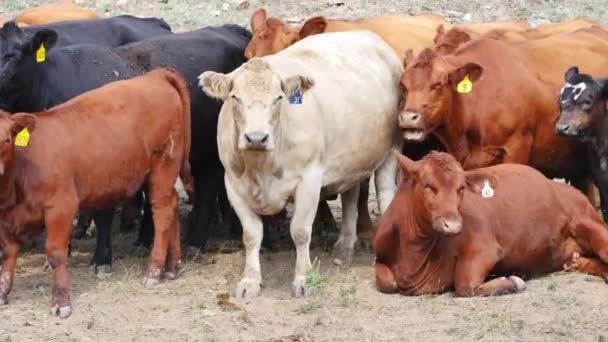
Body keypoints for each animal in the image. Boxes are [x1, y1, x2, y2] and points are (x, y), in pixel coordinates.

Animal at [0, 22, 252, 272]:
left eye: (11, 56)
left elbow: (102, 213)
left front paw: (101, 259)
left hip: (209, 151)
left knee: (207, 189)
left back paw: (195, 242)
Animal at [0, 67, 192, 318]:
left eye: (6, 139)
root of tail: (156, 75)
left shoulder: (61, 207)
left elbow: (56, 253)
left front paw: (60, 301)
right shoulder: (6, 217)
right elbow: (8, 252)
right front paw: (3, 293)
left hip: (163, 166)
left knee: (162, 213)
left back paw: (154, 271)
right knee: (173, 206)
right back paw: (171, 266)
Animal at [200, 30, 406, 300]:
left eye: (278, 99)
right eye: (235, 98)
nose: (256, 137)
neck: (261, 167)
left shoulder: (309, 180)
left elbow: (300, 231)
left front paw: (303, 278)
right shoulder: (234, 185)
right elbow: (251, 236)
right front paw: (250, 281)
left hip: (392, 149)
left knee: (385, 195)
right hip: (351, 158)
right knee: (351, 195)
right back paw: (345, 244)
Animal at [372, 151, 608, 296]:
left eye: (461, 188)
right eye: (427, 185)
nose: (453, 225)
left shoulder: (485, 249)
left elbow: (466, 284)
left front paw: (513, 282)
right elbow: (387, 283)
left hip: (591, 226)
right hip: (573, 258)